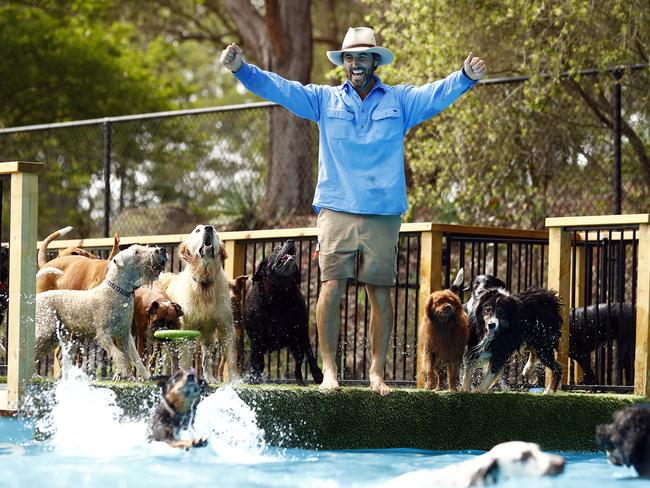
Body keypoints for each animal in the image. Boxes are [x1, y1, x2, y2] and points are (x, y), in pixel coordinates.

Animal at [157, 225, 238, 386]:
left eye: (216, 231)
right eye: (197, 230)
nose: (209, 228)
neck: (204, 282)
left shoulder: (225, 324)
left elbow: (231, 356)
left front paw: (236, 380)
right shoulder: (186, 328)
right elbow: (185, 360)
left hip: (208, 336)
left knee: (206, 357)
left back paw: (210, 378)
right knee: (170, 358)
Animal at [243, 240, 324, 386]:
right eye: (276, 249)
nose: (290, 241)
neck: (279, 296)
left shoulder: (300, 331)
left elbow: (307, 355)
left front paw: (314, 375)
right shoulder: (257, 338)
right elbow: (256, 361)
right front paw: (254, 378)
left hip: (297, 339)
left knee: (303, 356)